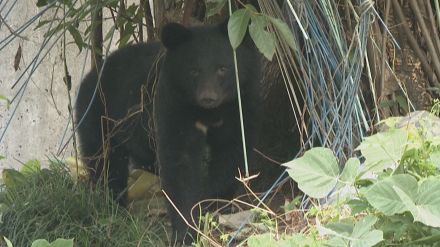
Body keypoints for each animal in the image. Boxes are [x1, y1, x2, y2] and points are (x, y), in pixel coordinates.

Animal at [75, 22, 262, 242]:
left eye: (223, 68)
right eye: (194, 71)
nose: (208, 98)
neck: (210, 113)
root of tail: (91, 76)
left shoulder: (241, 105)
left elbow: (231, 153)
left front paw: (211, 204)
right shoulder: (173, 101)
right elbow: (180, 163)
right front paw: (186, 231)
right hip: (100, 116)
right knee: (105, 163)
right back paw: (114, 207)